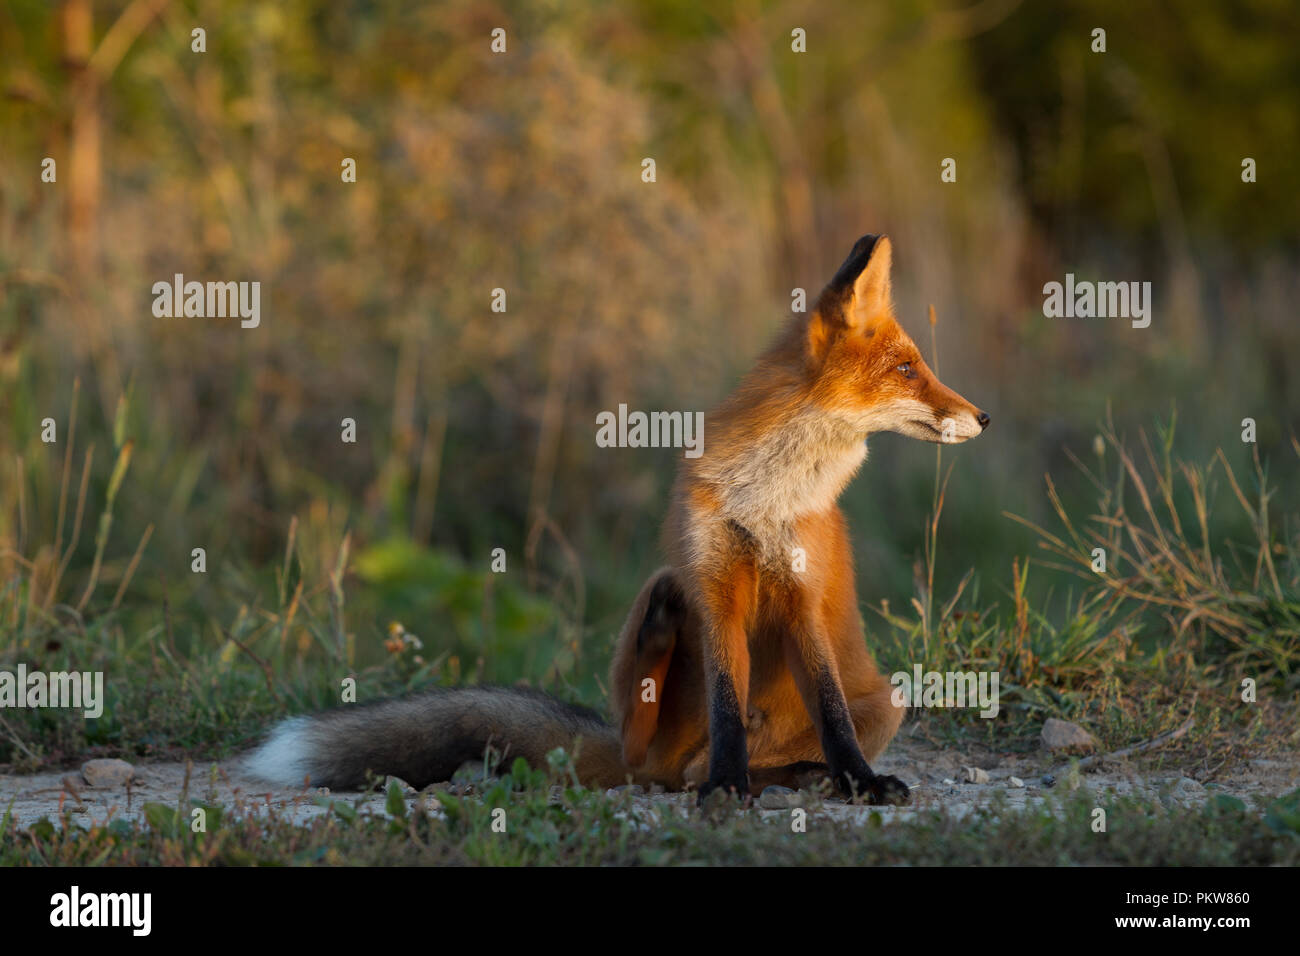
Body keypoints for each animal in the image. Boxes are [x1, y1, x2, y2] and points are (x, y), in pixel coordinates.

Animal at [245, 235, 982, 806]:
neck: (767, 498)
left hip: (889, 698)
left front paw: (859, 781)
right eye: (907, 368)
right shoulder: (713, 583)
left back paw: (803, 776)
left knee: (710, 764)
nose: (983, 416)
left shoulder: (802, 597)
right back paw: (676, 685)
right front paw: (728, 786)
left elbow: (832, 716)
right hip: (665, 614)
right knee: (643, 750)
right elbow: (725, 704)